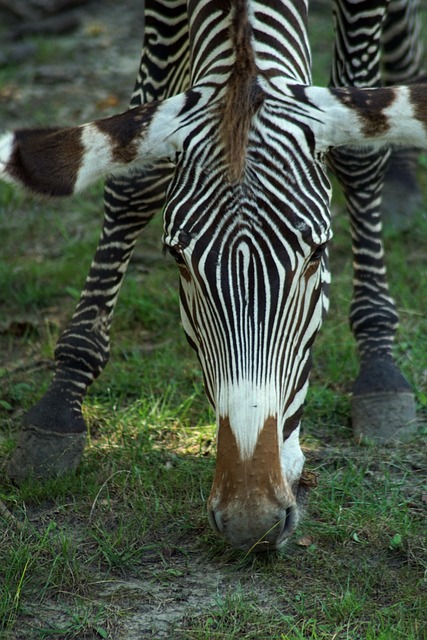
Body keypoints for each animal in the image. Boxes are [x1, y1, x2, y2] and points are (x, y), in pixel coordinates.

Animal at [0, 0, 426, 552]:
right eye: (177, 258)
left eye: (317, 254)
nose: (251, 519)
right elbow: (134, 180)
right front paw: (61, 400)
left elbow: (358, 159)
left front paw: (378, 364)